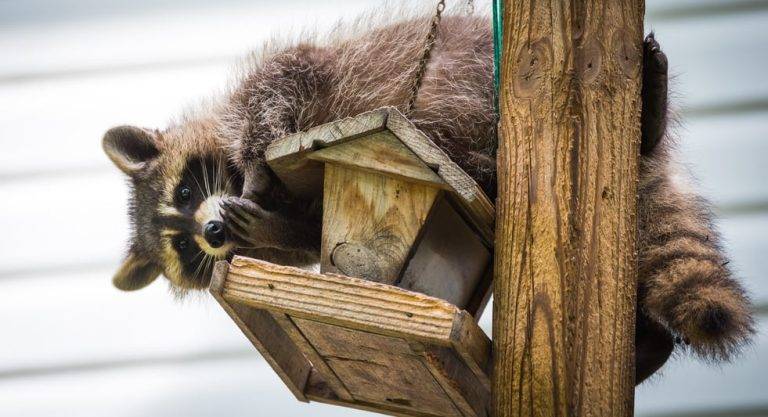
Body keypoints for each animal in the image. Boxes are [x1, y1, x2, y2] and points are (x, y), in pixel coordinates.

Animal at [102, 14, 753, 383]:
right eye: (185, 250)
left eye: (187, 189)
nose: (211, 233)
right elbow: (309, 233)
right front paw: (267, 230)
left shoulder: (282, 83)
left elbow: (279, 88)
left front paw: (256, 164)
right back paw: (649, 348)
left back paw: (649, 116)